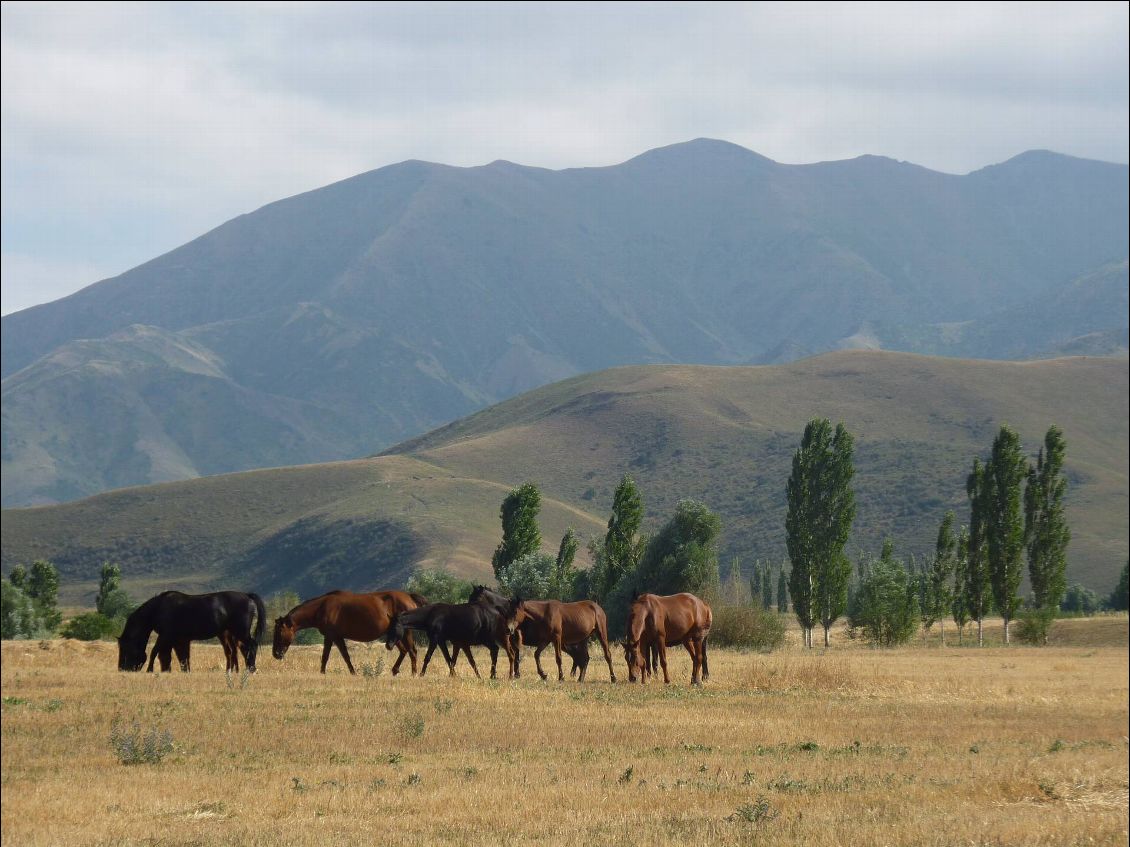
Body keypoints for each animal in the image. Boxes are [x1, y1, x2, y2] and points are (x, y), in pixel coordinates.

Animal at [117, 591, 266, 673]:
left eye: (125, 648)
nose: (122, 668)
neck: (158, 608)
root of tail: (247, 595)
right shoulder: (178, 639)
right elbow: (180, 657)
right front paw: (180, 671)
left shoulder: (165, 636)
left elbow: (155, 652)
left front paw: (150, 670)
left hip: (241, 632)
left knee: (251, 646)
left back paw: (251, 668)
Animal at [270, 591, 424, 677]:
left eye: (280, 632)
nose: (276, 654)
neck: (322, 607)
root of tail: (409, 597)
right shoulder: (334, 637)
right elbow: (338, 656)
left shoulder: (332, 636)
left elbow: (333, 656)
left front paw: (325, 673)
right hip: (395, 636)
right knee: (404, 651)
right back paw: (395, 670)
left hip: (406, 633)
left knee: (412, 651)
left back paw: (414, 673)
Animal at [474, 591, 623, 682]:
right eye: (507, 612)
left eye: (515, 612)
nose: (509, 629)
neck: (544, 614)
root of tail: (597, 607)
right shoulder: (545, 640)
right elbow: (536, 655)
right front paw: (543, 675)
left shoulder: (556, 638)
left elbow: (558, 658)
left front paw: (561, 677)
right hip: (582, 640)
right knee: (584, 658)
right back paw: (580, 679)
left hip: (600, 634)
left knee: (606, 655)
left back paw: (613, 678)